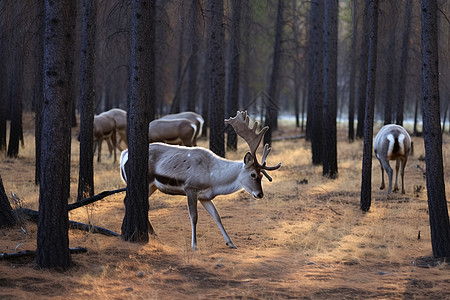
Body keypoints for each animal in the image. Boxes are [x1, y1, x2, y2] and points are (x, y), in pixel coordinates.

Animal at [119, 111, 282, 250]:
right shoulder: (190, 188)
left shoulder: (206, 196)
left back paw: (153, 234)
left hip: (152, 186)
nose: (260, 194)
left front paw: (231, 243)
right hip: (145, 182)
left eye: (262, 175)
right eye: (253, 174)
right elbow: (194, 217)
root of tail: (123, 156)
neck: (213, 179)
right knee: (128, 200)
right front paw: (194, 245)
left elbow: (217, 216)